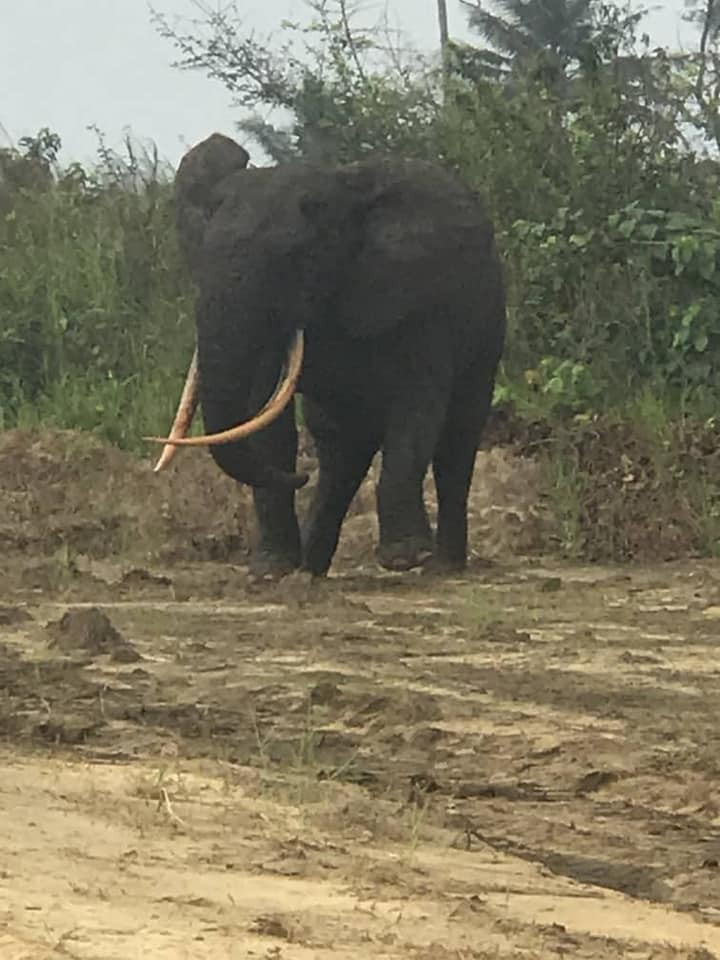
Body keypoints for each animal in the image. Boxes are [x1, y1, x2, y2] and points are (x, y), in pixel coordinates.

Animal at [149, 133, 507, 578]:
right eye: (202, 252)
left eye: (296, 258)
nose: (298, 476)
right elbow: (262, 413)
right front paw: (271, 570)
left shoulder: (420, 304)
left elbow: (416, 412)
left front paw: (406, 559)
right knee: (340, 446)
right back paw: (311, 567)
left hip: (488, 328)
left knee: (456, 437)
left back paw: (442, 567)